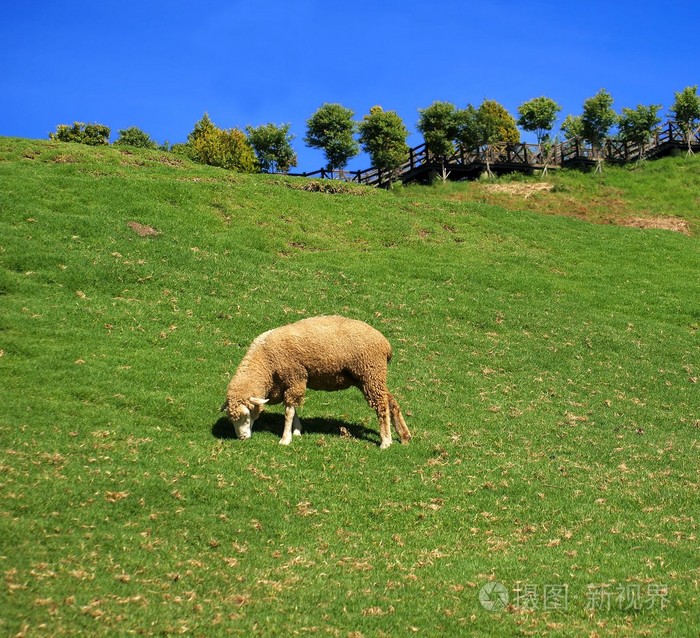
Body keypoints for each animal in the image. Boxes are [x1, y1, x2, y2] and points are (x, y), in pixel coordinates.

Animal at [221, 316, 412, 450]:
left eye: (246, 415)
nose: (241, 438)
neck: (266, 362)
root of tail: (385, 344)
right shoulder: (288, 384)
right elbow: (292, 407)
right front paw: (297, 430)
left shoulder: (295, 377)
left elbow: (289, 411)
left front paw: (285, 438)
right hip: (369, 378)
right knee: (391, 401)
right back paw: (404, 436)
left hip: (370, 373)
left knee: (381, 405)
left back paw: (386, 441)